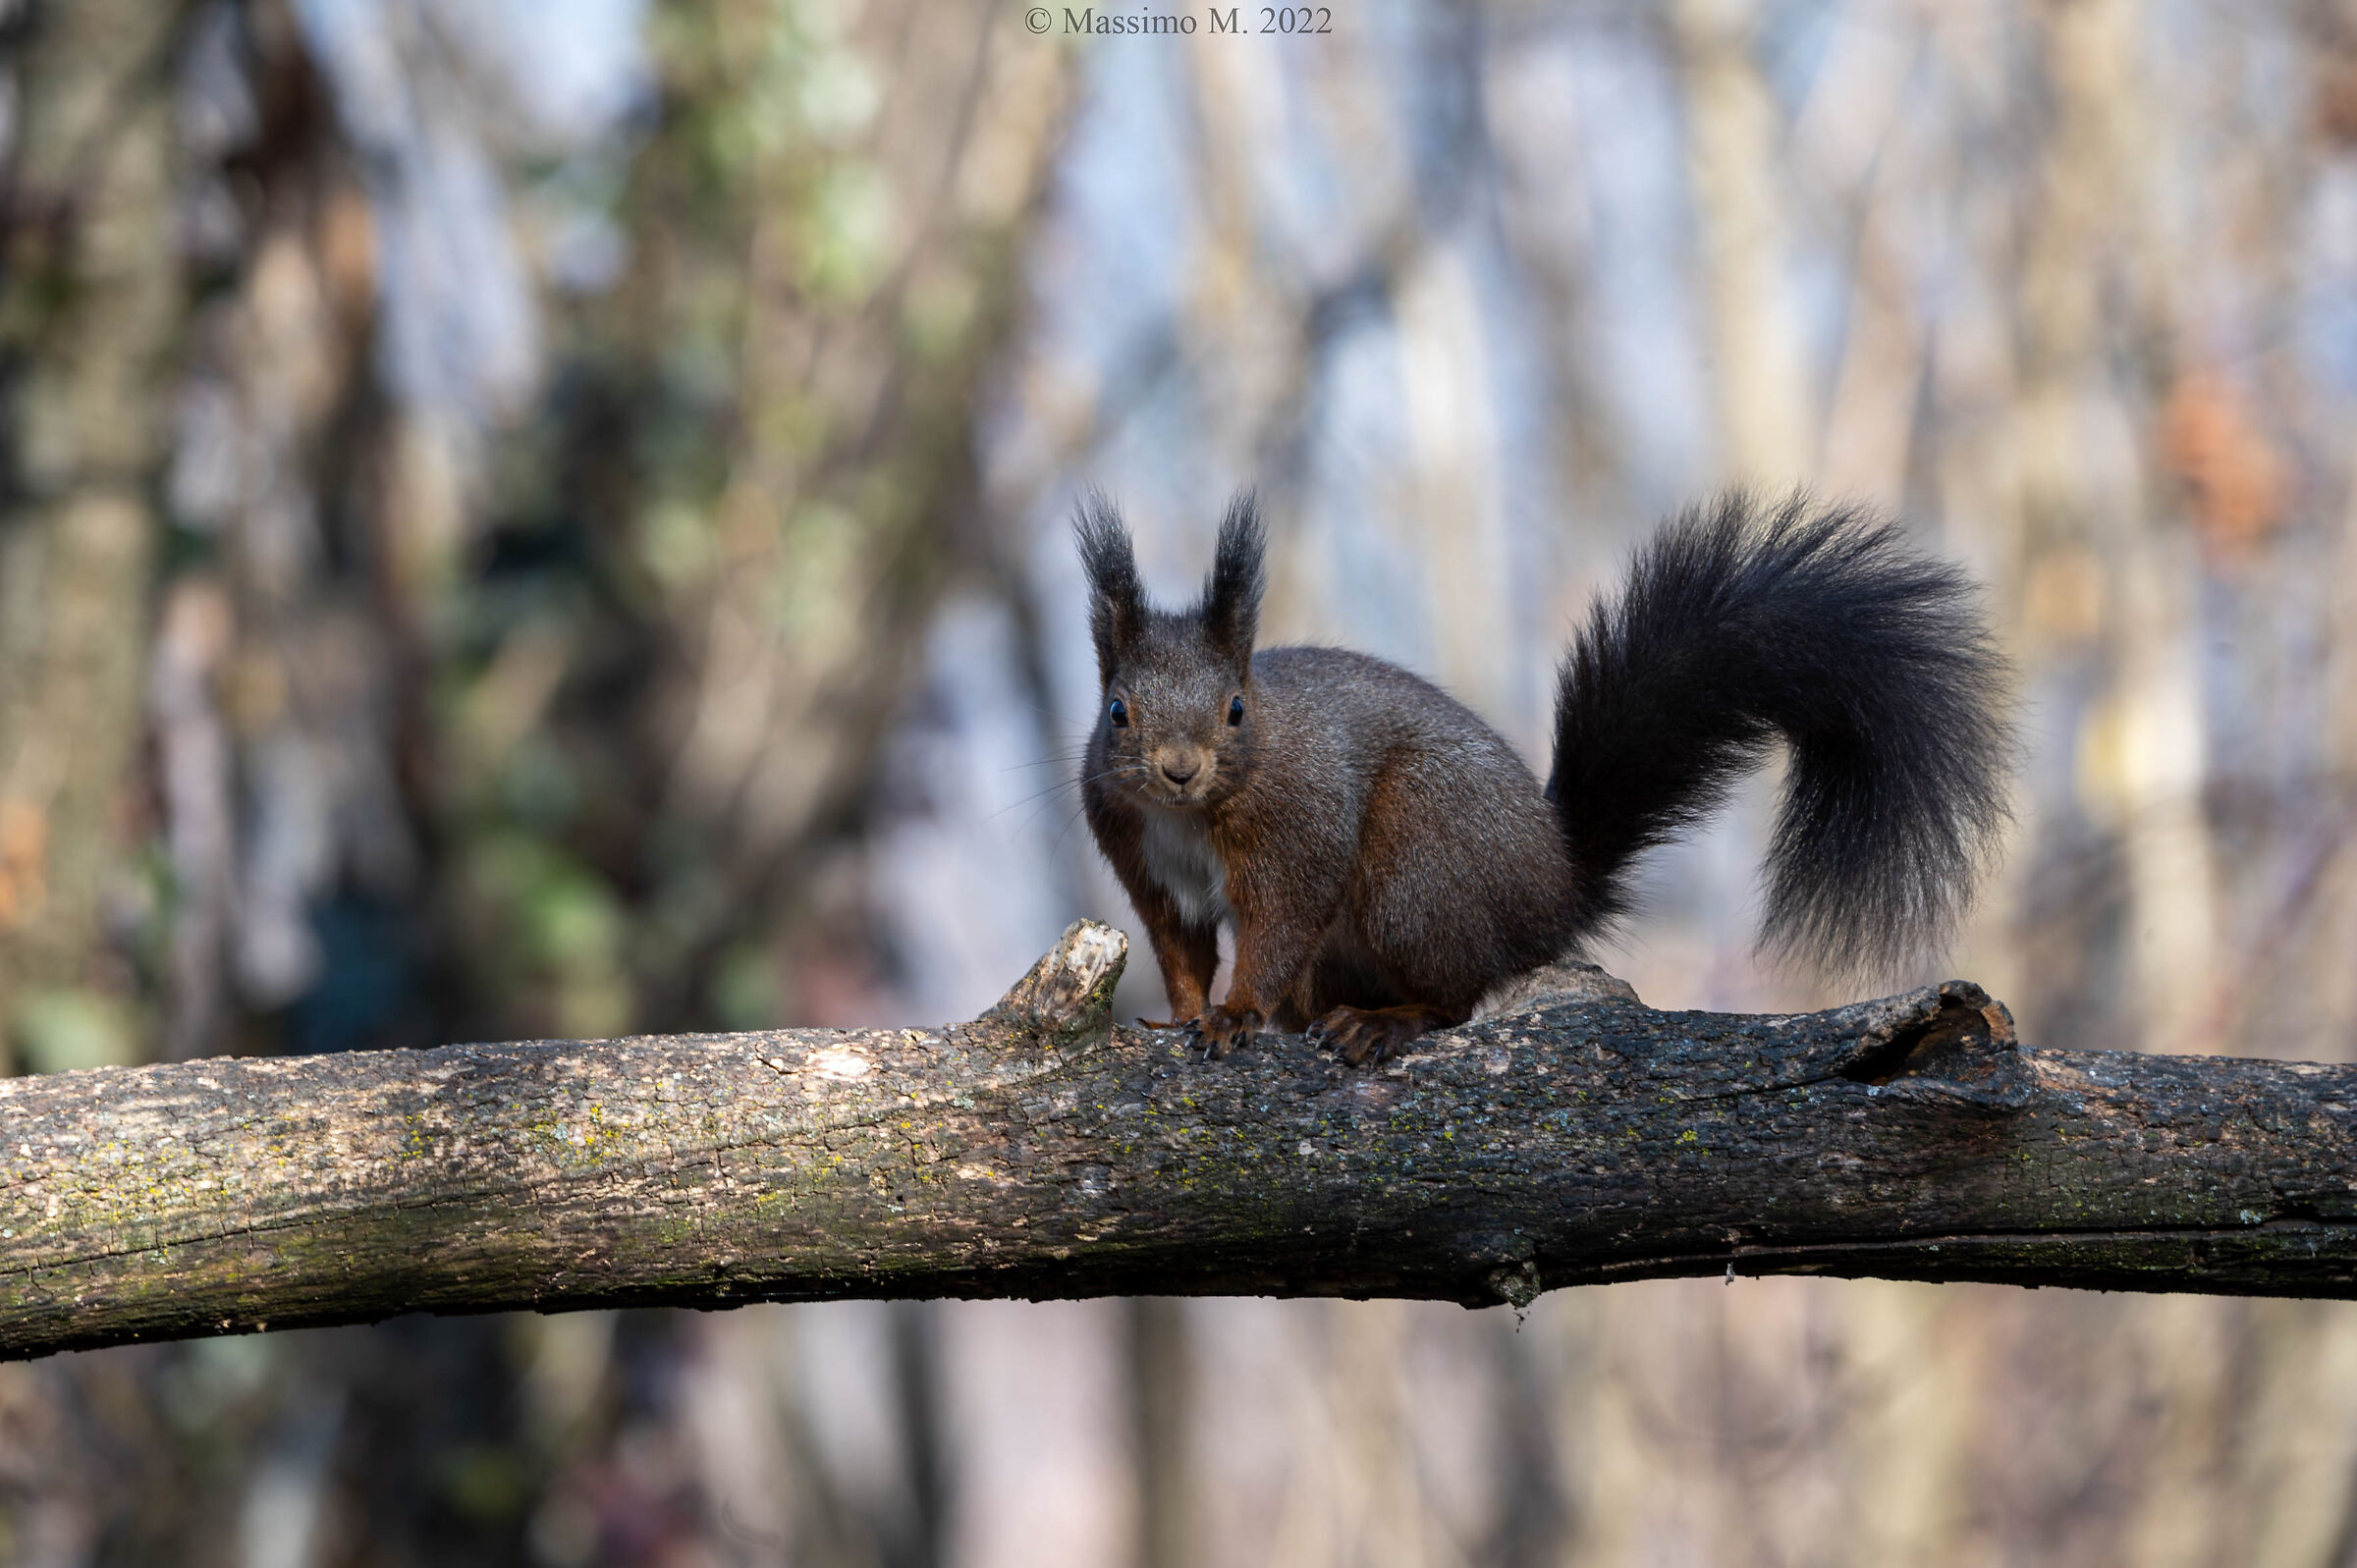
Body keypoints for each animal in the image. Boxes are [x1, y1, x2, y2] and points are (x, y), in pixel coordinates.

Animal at [1075, 490, 2012, 1065]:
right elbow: (1179, 944)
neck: (1191, 815)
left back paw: (1386, 1022)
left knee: (1456, 994)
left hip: (1416, 868)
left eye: (1236, 709)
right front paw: (1183, 1013)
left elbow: (1277, 924)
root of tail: (1554, 888)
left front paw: (1235, 1014)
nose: (1179, 768)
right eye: (1117, 710)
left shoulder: (1296, 829)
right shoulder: (1145, 862)